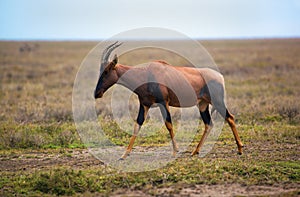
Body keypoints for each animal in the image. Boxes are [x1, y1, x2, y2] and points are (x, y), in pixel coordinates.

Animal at [94, 41, 244, 160]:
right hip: (203, 104)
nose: (97, 93)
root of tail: (220, 76)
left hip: (217, 101)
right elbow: (137, 125)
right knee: (209, 124)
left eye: (106, 71)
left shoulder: (163, 103)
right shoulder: (145, 104)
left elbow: (169, 125)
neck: (147, 73)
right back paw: (195, 152)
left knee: (230, 117)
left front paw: (175, 152)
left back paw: (240, 149)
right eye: (100, 70)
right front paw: (124, 155)